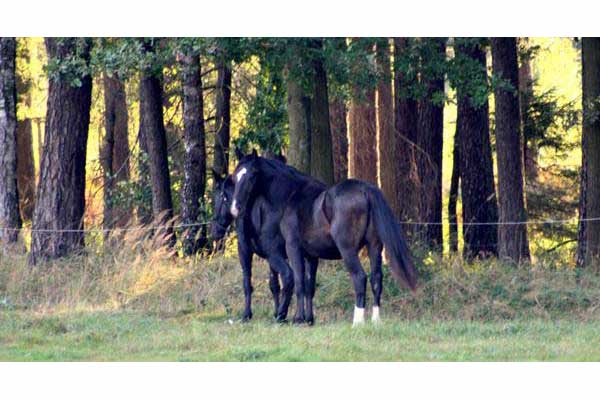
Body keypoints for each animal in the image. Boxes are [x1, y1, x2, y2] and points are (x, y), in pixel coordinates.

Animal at [211, 169, 318, 322]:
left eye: (219, 197)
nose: (215, 231)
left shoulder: (245, 251)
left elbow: (247, 283)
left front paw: (247, 314)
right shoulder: (270, 258)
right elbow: (274, 285)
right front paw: (275, 311)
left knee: (289, 276)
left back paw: (283, 314)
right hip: (308, 256)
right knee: (308, 284)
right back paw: (306, 317)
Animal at [230, 152, 418, 326]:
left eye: (252, 175)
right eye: (235, 176)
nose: (235, 207)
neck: (291, 196)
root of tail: (365, 190)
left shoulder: (293, 248)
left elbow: (298, 282)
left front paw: (297, 318)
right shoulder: (311, 256)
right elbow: (309, 286)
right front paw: (308, 319)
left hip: (348, 250)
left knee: (359, 278)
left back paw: (357, 322)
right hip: (374, 247)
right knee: (376, 279)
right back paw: (375, 321)